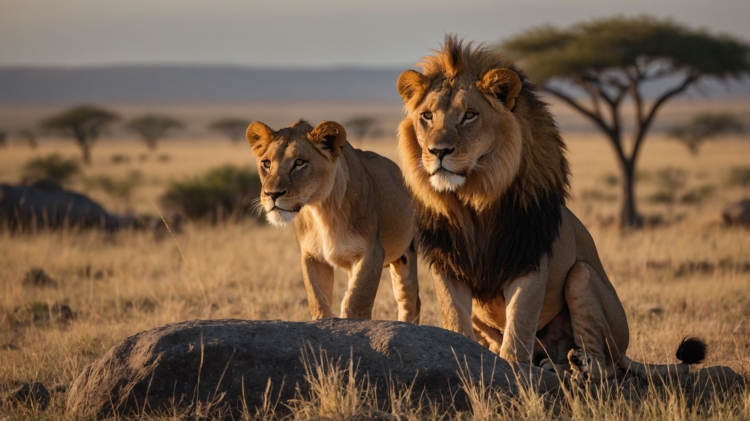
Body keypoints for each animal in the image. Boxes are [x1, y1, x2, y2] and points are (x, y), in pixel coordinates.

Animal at [246, 119, 421, 324]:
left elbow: (356, 301)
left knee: (410, 302)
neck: (322, 210)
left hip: (406, 255)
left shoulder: (373, 253)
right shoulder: (311, 255)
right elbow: (317, 300)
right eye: (266, 163)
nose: (272, 194)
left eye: (299, 162)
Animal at [396, 35, 704, 380]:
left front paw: (513, 369)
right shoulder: (449, 262)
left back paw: (576, 366)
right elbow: (455, 319)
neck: (474, 200)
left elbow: (519, 325)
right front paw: (465, 359)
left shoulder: (529, 259)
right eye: (427, 116)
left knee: (606, 365)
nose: (438, 151)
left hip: (584, 279)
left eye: (470, 115)